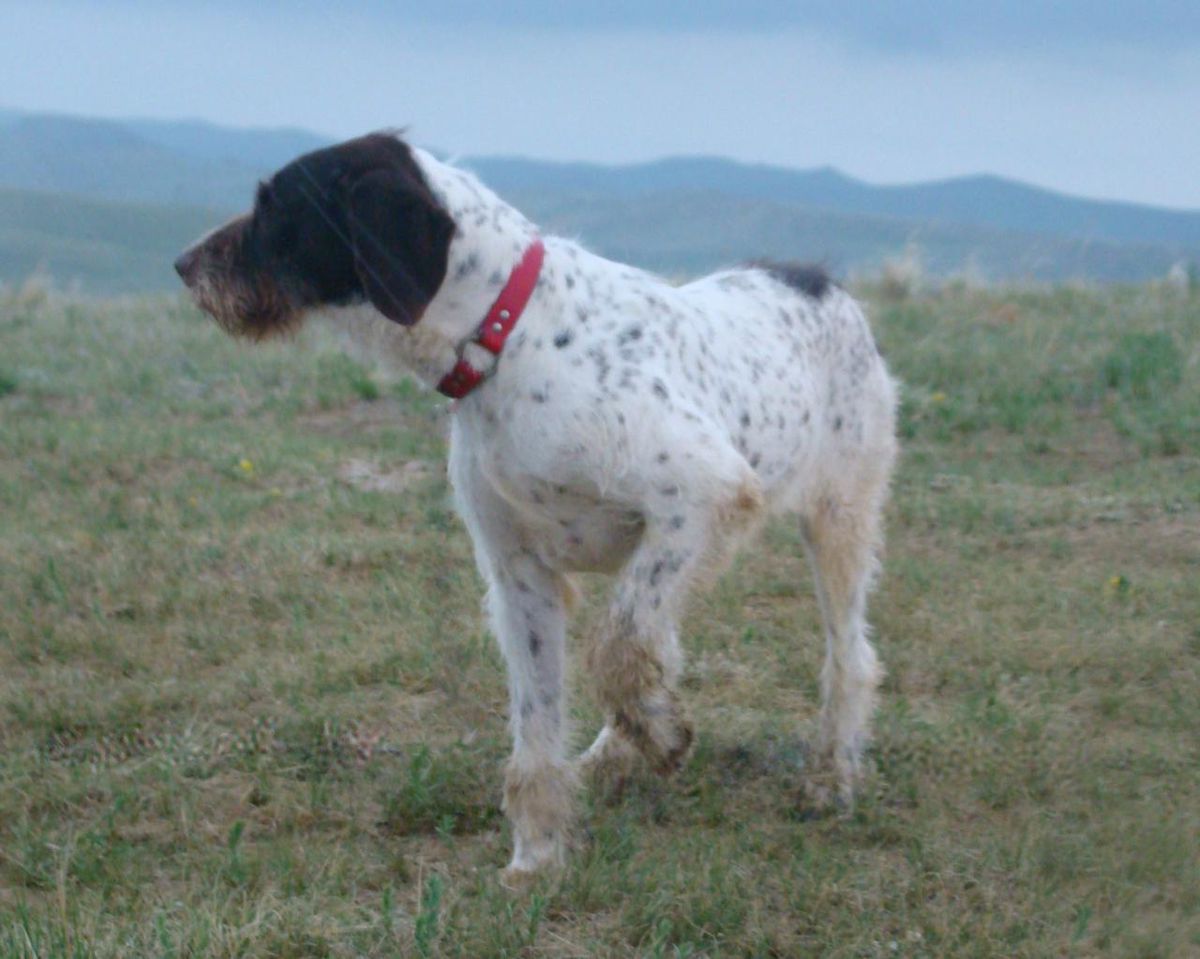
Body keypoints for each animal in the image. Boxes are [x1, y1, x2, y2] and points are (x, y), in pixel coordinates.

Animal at [174, 131, 897, 883]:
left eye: (275, 204)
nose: (183, 265)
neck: (507, 336)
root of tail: (817, 278)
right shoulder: (520, 575)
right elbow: (541, 724)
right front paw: (538, 856)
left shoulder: (707, 493)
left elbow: (618, 646)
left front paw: (660, 733)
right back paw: (616, 753)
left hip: (838, 519)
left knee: (849, 655)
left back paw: (829, 777)